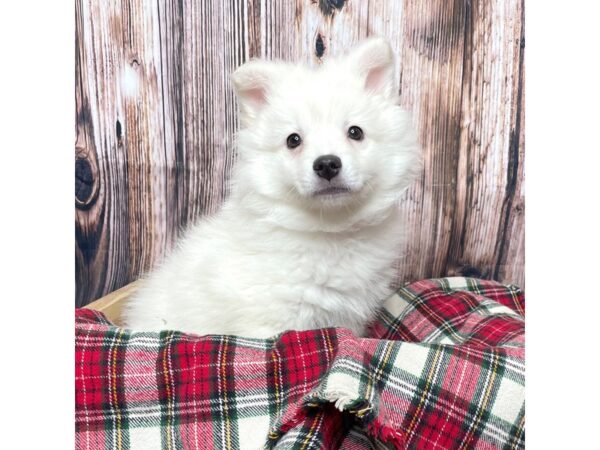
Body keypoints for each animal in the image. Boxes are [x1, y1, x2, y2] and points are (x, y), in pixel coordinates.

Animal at [122, 37, 422, 338]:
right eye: (293, 140)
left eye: (355, 132)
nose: (326, 164)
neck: (329, 232)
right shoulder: (268, 323)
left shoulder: (347, 317)